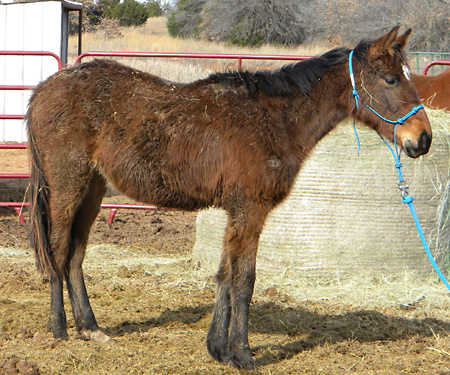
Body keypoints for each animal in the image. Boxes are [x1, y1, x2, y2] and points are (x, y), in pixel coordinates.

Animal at [28, 27, 432, 370]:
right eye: (391, 80)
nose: (423, 139)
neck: (273, 120)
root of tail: (44, 88)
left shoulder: (236, 212)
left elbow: (224, 274)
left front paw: (218, 348)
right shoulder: (250, 210)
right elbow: (244, 280)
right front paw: (243, 353)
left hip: (93, 189)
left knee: (76, 254)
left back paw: (90, 328)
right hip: (68, 184)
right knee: (58, 250)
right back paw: (59, 329)